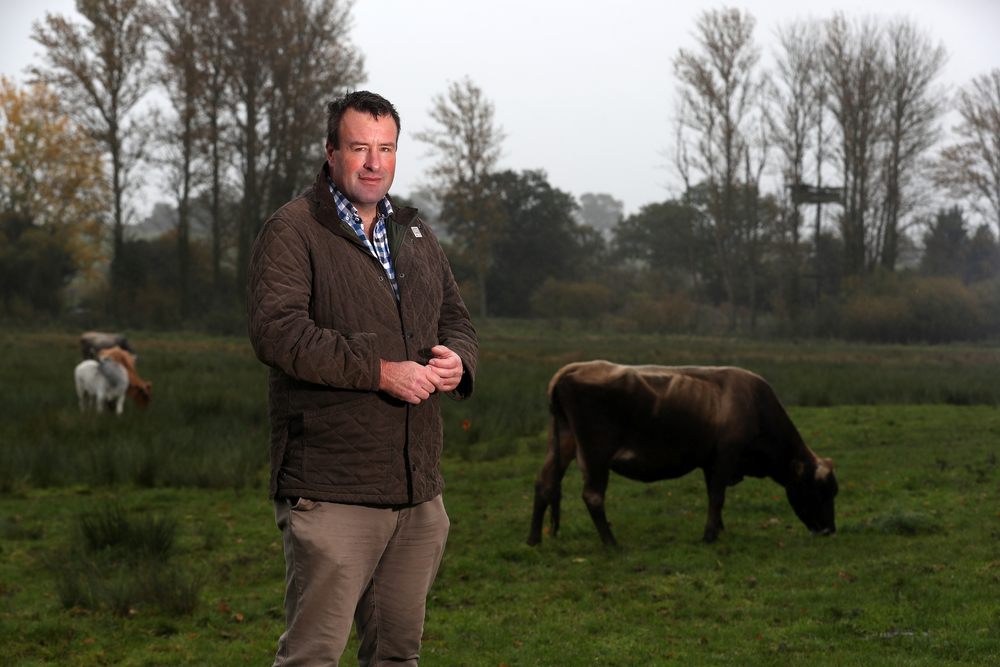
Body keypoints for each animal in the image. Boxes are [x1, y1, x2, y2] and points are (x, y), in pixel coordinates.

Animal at [528, 360, 840, 548]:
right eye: (820, 491)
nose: (829, 531)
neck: (755, 406)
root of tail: (578, 367)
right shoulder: (727, 454)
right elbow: (717, 496)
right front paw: (710, 536)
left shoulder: (711, 461)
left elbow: (713, 495)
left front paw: (719, 529)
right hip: (596, 454)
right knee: (592, 496)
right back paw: (611, 543)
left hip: (563, 443)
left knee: (545, 485)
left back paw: (534, 539)